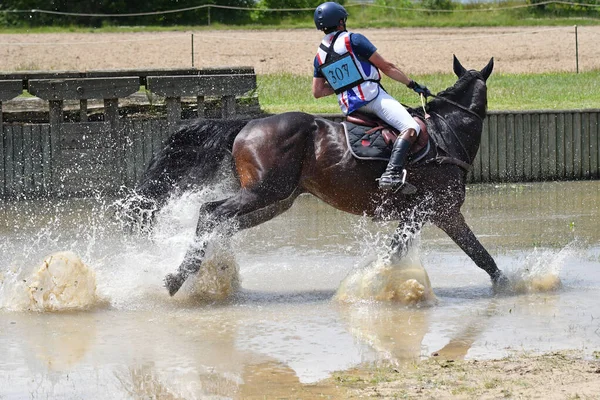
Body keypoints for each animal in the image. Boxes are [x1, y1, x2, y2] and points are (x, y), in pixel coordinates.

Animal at [130, 54, 506, 296]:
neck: (445, 133)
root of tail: (247, 124)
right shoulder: (442, 211)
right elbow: (480, 256)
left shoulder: (423, 215)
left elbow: (403, 254)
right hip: (263, 192)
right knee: (210, 212)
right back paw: (180, 278)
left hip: (275, 201)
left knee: (222, 223)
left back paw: (211, 275)